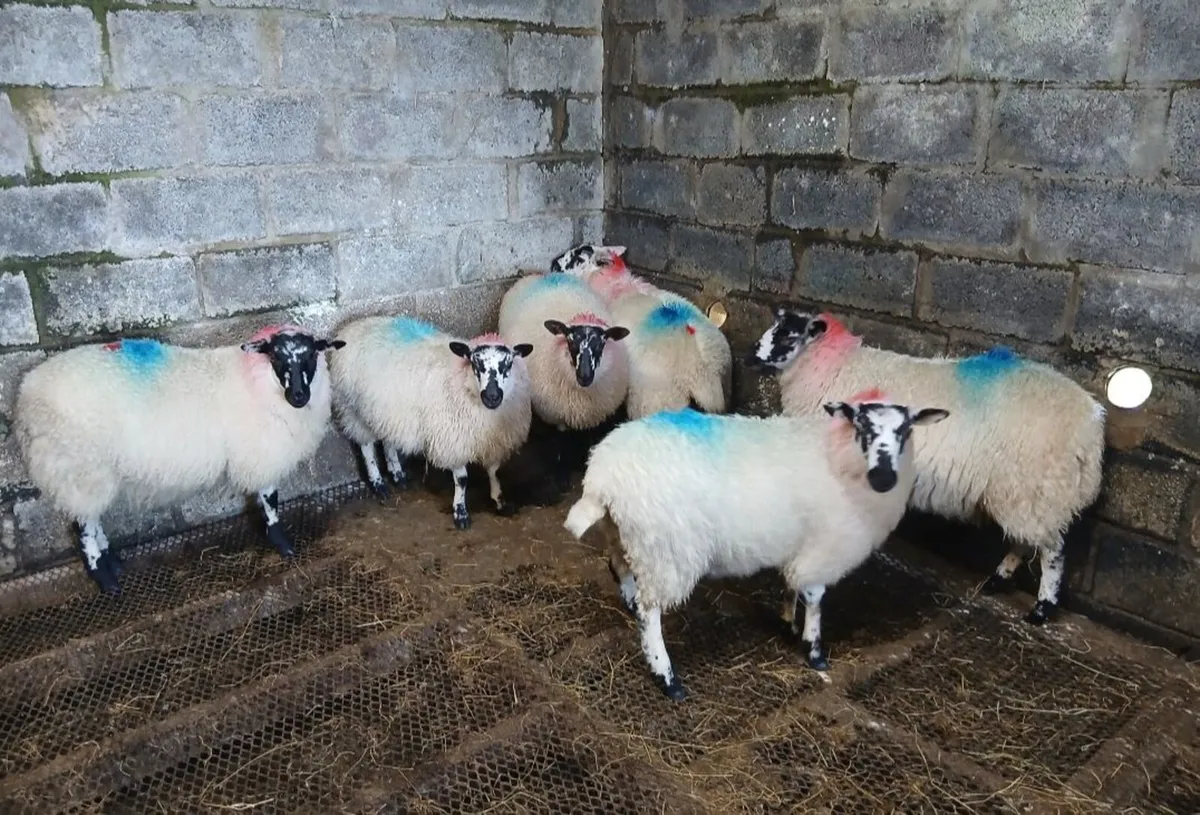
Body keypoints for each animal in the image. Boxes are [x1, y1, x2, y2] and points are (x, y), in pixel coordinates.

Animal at [13, 326, 346, 595]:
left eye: (312, 356)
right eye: (276, 357)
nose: (299, 396)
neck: (255, 380)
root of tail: (25, 395)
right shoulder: (261, 453)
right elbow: (270, 500)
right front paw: (282, 544)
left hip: (91, 471)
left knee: (92, 518)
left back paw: (114, 563)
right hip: (77, 465)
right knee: (83, 525)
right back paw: (104, 578)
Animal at [328, 314, 533, 530]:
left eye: (508, 364)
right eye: (475, 363)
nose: (492, 396)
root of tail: (355, 324)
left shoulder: (495, 441)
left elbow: (494, 470)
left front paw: (499, 501)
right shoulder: (452, 441)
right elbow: (462, 479)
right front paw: (460, 513)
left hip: (388, 413)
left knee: (388, 441)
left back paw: (397, 474)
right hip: (351, 408)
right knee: (366, 446)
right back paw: (378, 484)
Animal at [497, 272, 630, 487]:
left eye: (601, 344)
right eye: (570, 341)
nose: (585, 376)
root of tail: (538, 274)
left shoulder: (595, 413)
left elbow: (591, 439)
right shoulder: (558, 416)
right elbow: (561, 445)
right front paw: (562, 477)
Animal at [563, 394, 949, 700]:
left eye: (906, 430)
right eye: (861, 427)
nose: (883, 478)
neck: (838, 458)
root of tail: (602, 477)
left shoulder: (797, 542)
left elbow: (791, 585)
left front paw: (787, 622)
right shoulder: (823, 546)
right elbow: (814, 598)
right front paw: (814, 651)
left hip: (628, 536)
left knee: (619, 569)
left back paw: (629, 604)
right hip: (667, 551)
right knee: (650, 613)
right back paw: (667, 678)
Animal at [745, 308, 1107, 626]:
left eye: (788, 334)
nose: (751, 355)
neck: (834, 368)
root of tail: (1091, 422)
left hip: (1037, 487)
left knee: (1052, 551)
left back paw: (1042, 609)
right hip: (1023, 493)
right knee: (1026, 539)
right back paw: (998, 579)